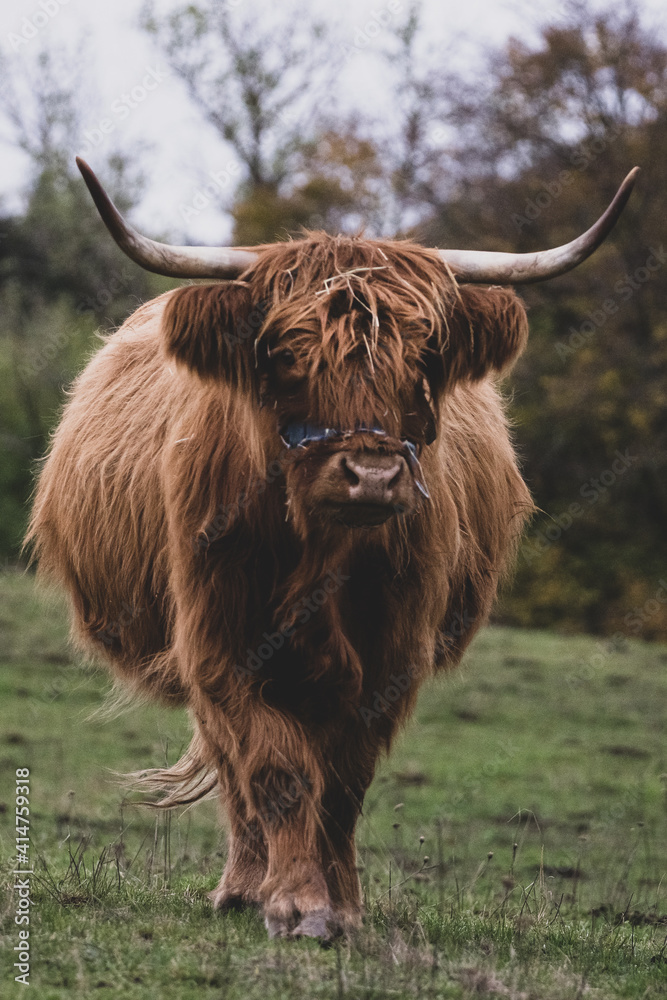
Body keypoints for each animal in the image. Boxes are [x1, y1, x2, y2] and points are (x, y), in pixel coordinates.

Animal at [26, 160, 640, 940]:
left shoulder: (393, 653)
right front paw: (295, 901)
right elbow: (276, 770)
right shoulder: (220, 640)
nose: (371, 475)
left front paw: (342, 903)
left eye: (424, 355)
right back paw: (243, 885)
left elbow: (344, 781)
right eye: (287, 354)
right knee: (236, 767)